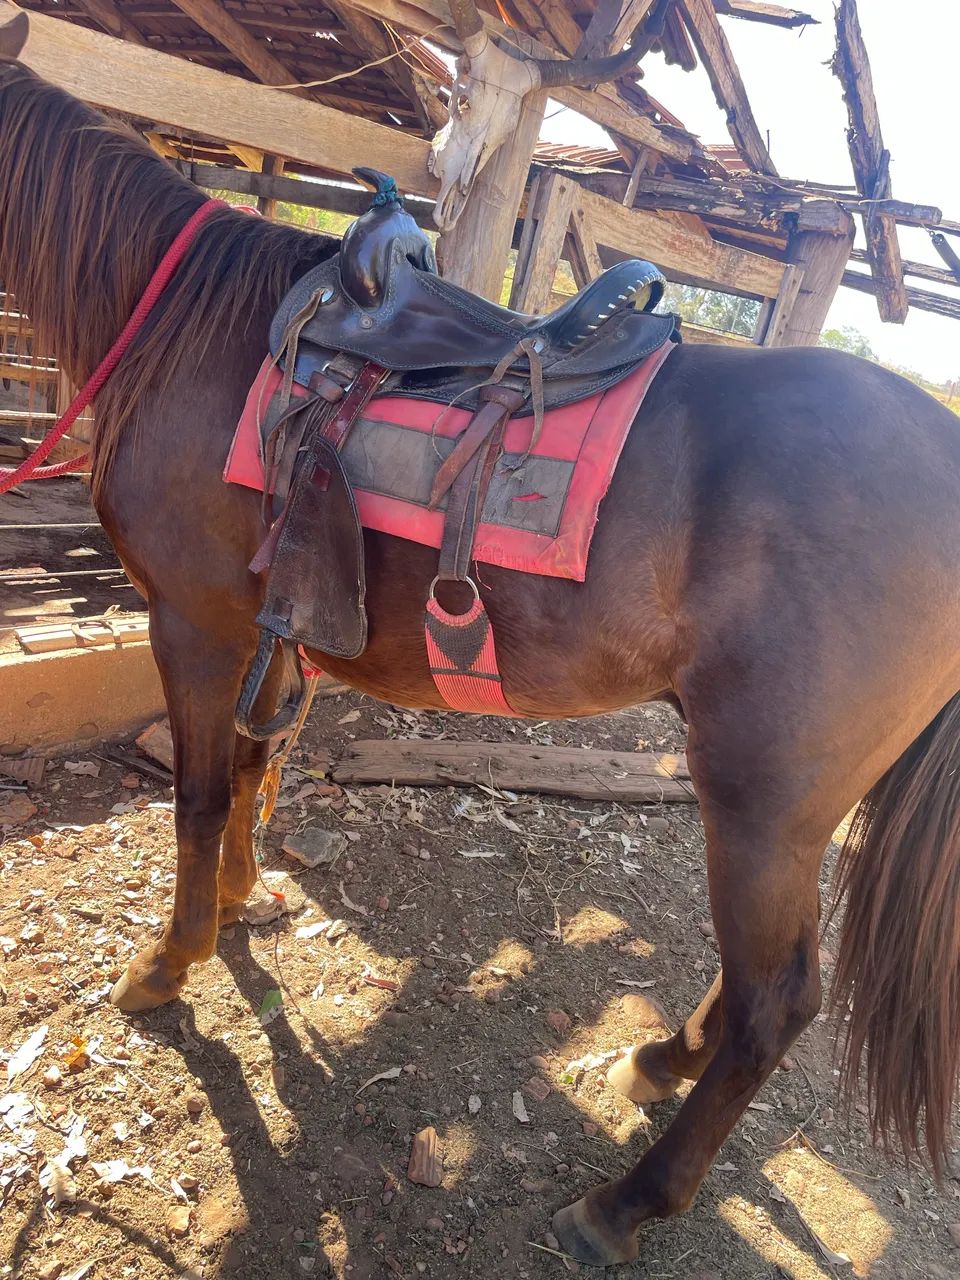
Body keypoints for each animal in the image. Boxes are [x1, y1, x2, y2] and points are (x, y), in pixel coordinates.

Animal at [2, 14, 959, 1267]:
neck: (188, 330)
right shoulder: (266, 626)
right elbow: (257, 765)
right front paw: (241, 903)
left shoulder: (194, 624)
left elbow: (202, 793)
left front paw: (169, 962)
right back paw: (660, 1057)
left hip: (765, 796)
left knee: (778, 998)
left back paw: (626, 1200)